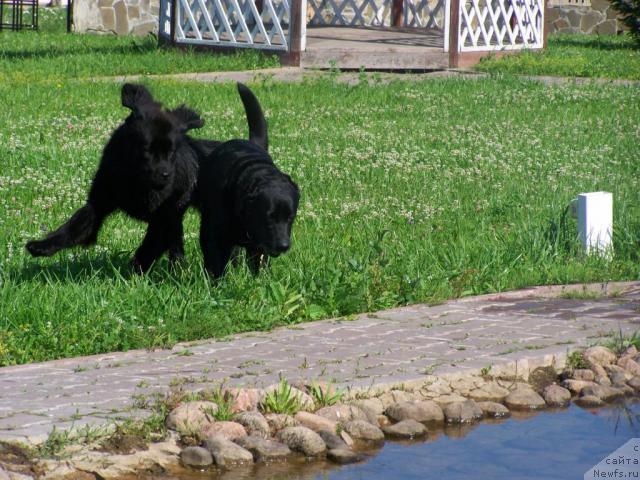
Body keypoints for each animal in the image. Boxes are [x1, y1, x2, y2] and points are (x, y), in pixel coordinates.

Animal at [26, 83, 220, 274]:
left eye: (171, 152)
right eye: (147, 150)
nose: (166, 175)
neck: (134, 180)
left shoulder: (165, 216)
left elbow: (150, 246)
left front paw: (135, 269)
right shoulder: (99, 203)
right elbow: (73, 227)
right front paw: (42, 246)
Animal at [198, 82, 300, 278]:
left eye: (290, 217)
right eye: (269, 217)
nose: (283, 245)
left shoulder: (260, 246)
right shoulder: (214, 234)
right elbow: (216, 262)